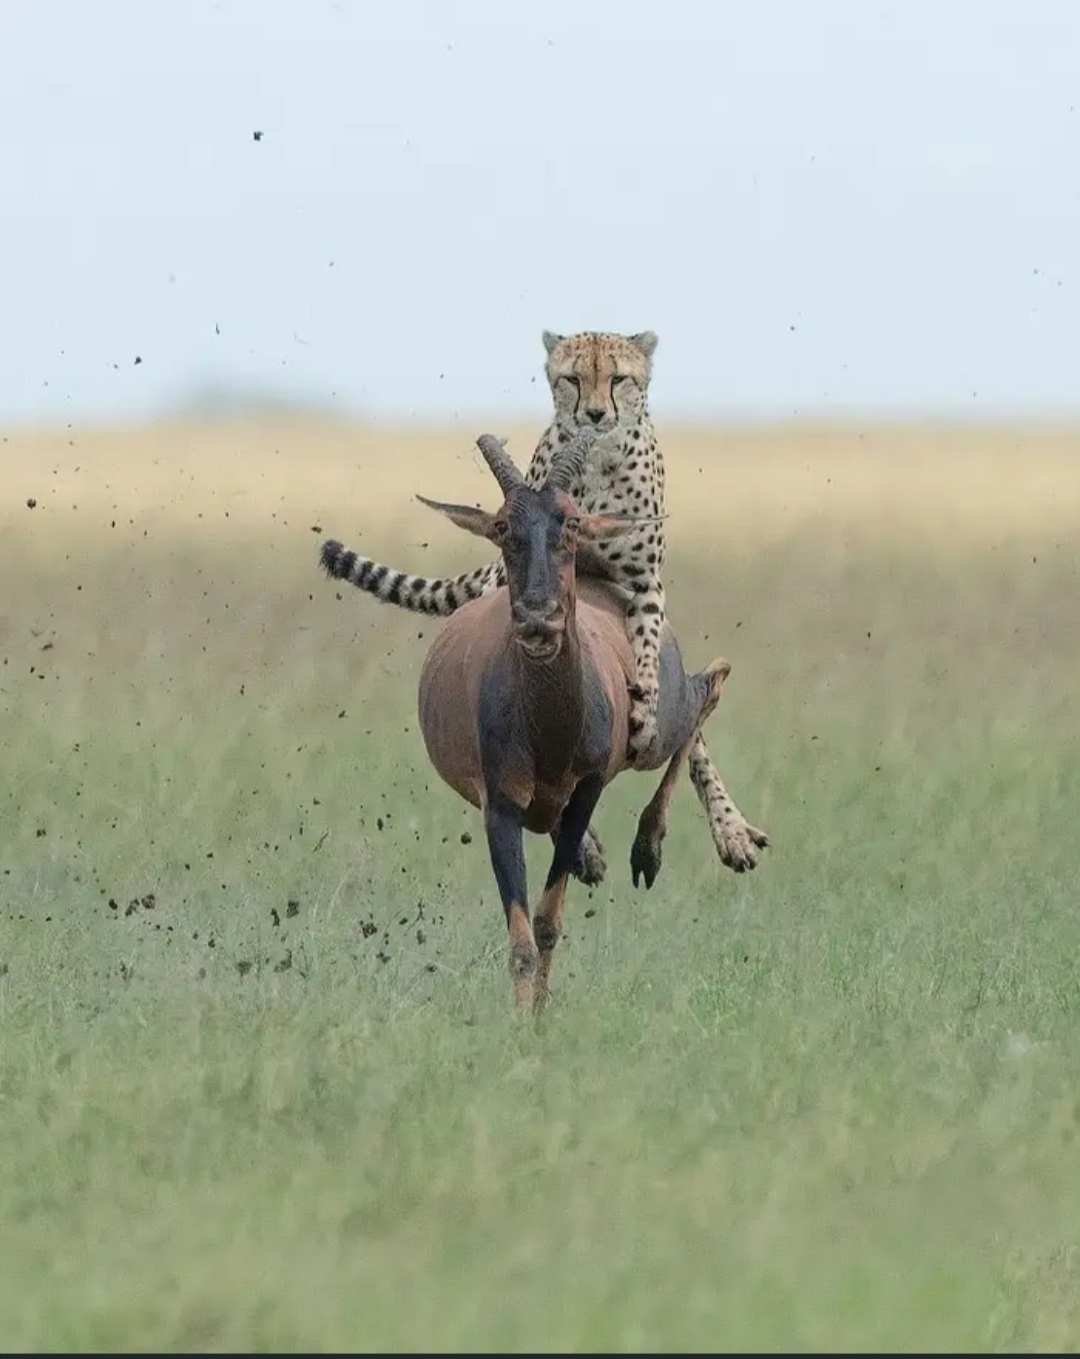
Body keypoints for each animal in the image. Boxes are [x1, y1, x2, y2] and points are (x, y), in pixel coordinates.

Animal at [316, 432, 728, 1011]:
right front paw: (523, 1018)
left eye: (570, 523)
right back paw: (599, 857)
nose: (537, 620)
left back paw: (655, 847)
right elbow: (521, 941)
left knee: (711, 682)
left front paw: (538, 1017)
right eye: (500, 526)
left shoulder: (586, 791)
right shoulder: (500, 808)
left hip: (653, 731)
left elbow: (547, 923)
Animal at [320, 334, 766, 875]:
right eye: (571, 378)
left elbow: (651, 677)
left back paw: (721, 829)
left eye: (619, 378)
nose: (595, 415)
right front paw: (587, 843)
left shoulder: (644, 587)